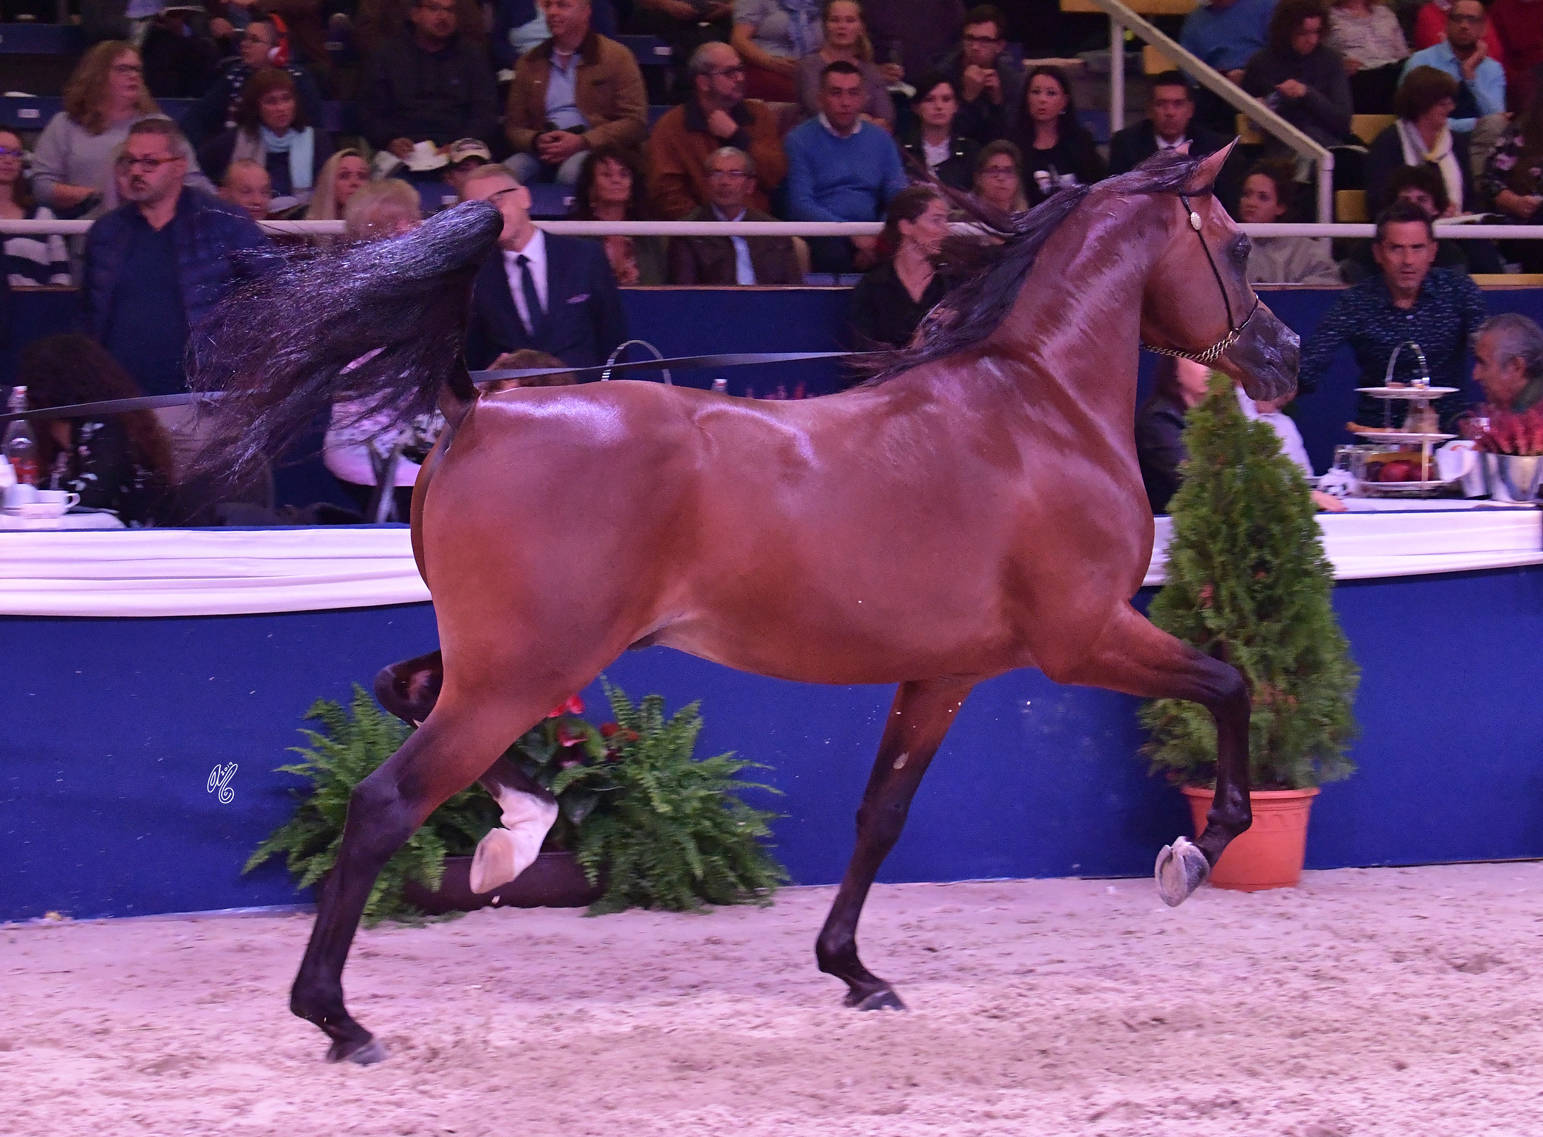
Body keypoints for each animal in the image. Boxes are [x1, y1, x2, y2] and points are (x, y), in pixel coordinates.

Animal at [191, 145, 1298, 1064]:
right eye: (1240, 244)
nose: (1284, 358)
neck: (1039, 410)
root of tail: (474, 410)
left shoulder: (945, 672)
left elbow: (881, 814)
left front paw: (852, 971)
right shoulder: (1083, 640)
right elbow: (1229, 683)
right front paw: (1197, 851)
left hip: (510, 662)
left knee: (400, 688)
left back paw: (518, 831)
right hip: (523, 672)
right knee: (386, 802)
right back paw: (341, 1018)